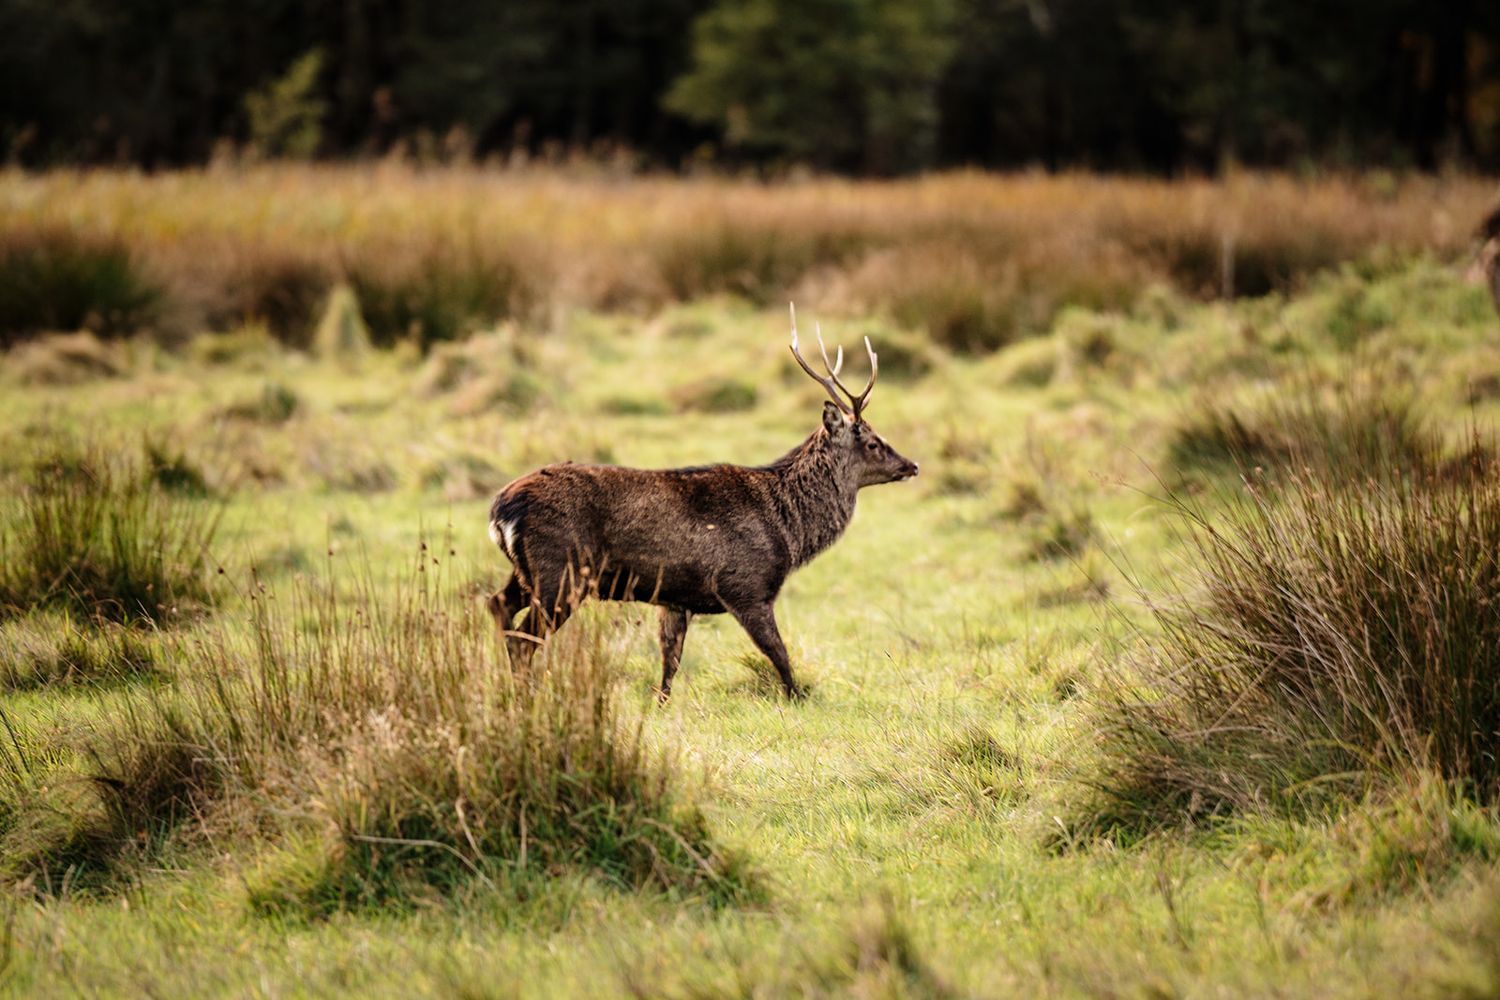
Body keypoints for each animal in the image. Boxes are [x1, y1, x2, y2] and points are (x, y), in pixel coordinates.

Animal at [485, 305, 919, 700]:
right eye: (873, 442)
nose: (912, 465)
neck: (788, 531)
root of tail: (501, 510)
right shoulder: (744, 585)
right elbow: (778, 654)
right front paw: (798, 699)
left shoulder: (675, 599)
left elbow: (669, 664)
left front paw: (659, 707)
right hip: (562, 570)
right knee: (522, 639)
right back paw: (526, 699)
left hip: (528, 571)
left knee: (497, 605)